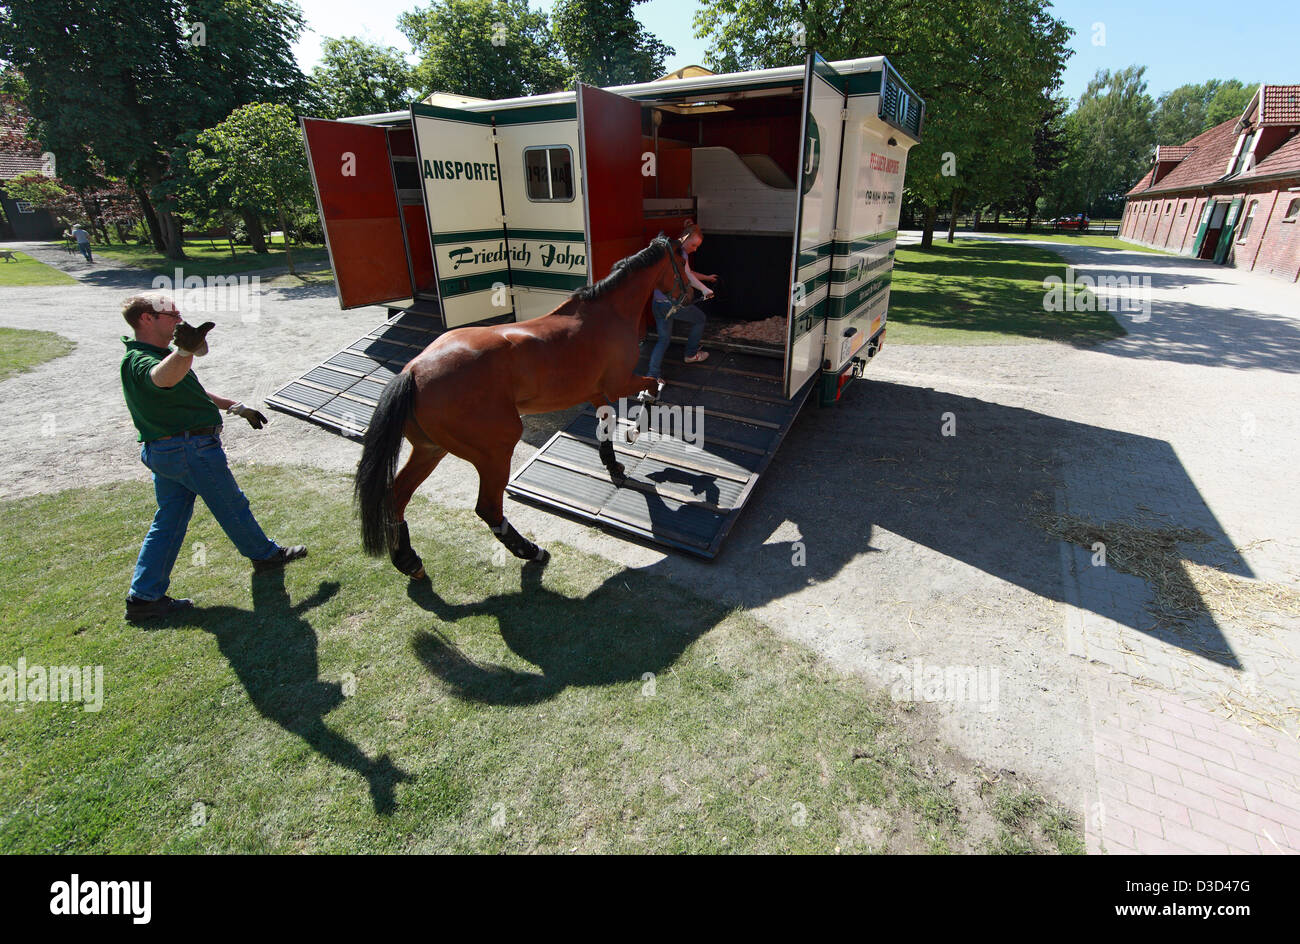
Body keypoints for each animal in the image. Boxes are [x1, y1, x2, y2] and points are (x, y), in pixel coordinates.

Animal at [345, 234, 691, 579]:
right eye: (684, 261)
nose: (692, 293)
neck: (606, 313)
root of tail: (414, 371)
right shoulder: (619, 383)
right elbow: (654, 385)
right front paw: (637, 428)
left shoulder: (596, 391)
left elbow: (606, 424)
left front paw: (614, 466)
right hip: (495, 450)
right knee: (488, 507)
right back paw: (531, 551)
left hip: (429, 450)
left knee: (397, 497)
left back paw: (408, 560)